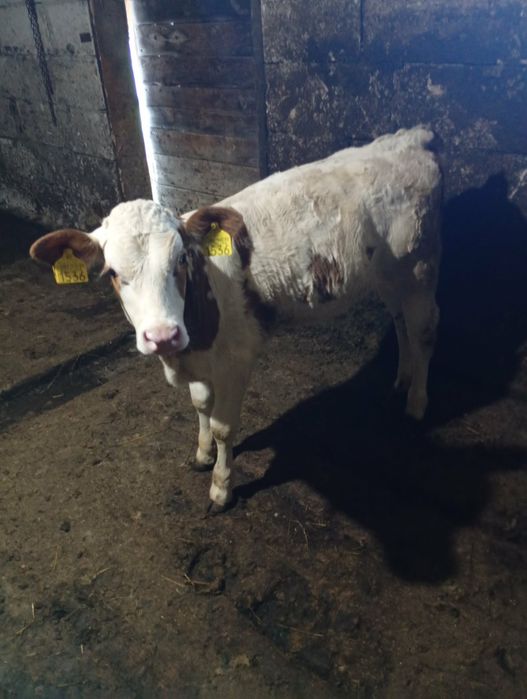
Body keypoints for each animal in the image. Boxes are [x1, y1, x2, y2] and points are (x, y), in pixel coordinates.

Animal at [30, 127, 442, 512]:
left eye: (181, 259)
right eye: (113, 272)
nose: (162, 335)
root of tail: (411, 137)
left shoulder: (235, 360)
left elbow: (223, 426)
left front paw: (221, 487)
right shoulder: (198, 360)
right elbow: (200, 405)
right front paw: (202, 454)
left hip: (420, 267)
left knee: (423, 330)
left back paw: (417, 401)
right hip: (387, 273)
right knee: (400, 320)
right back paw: (401, 379)